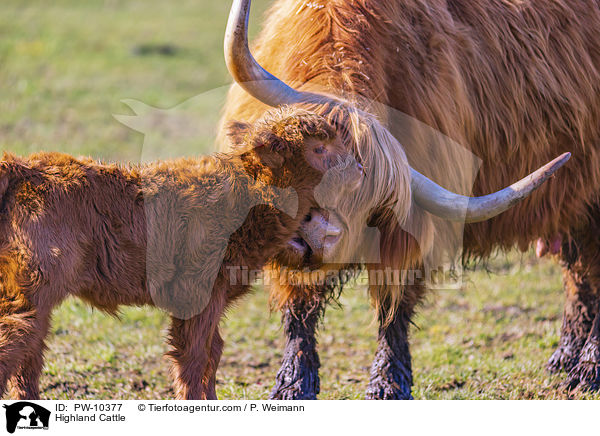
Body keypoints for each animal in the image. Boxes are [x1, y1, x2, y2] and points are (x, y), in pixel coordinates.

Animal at [218, 0, 584, 398]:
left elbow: (394, 307)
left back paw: (584, 371)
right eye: (308, 154)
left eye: (364, 187)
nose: (317, 229)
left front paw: (388, 384)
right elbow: (299, 306)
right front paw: (293, 384)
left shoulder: (414, 228)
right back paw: (564, 359)